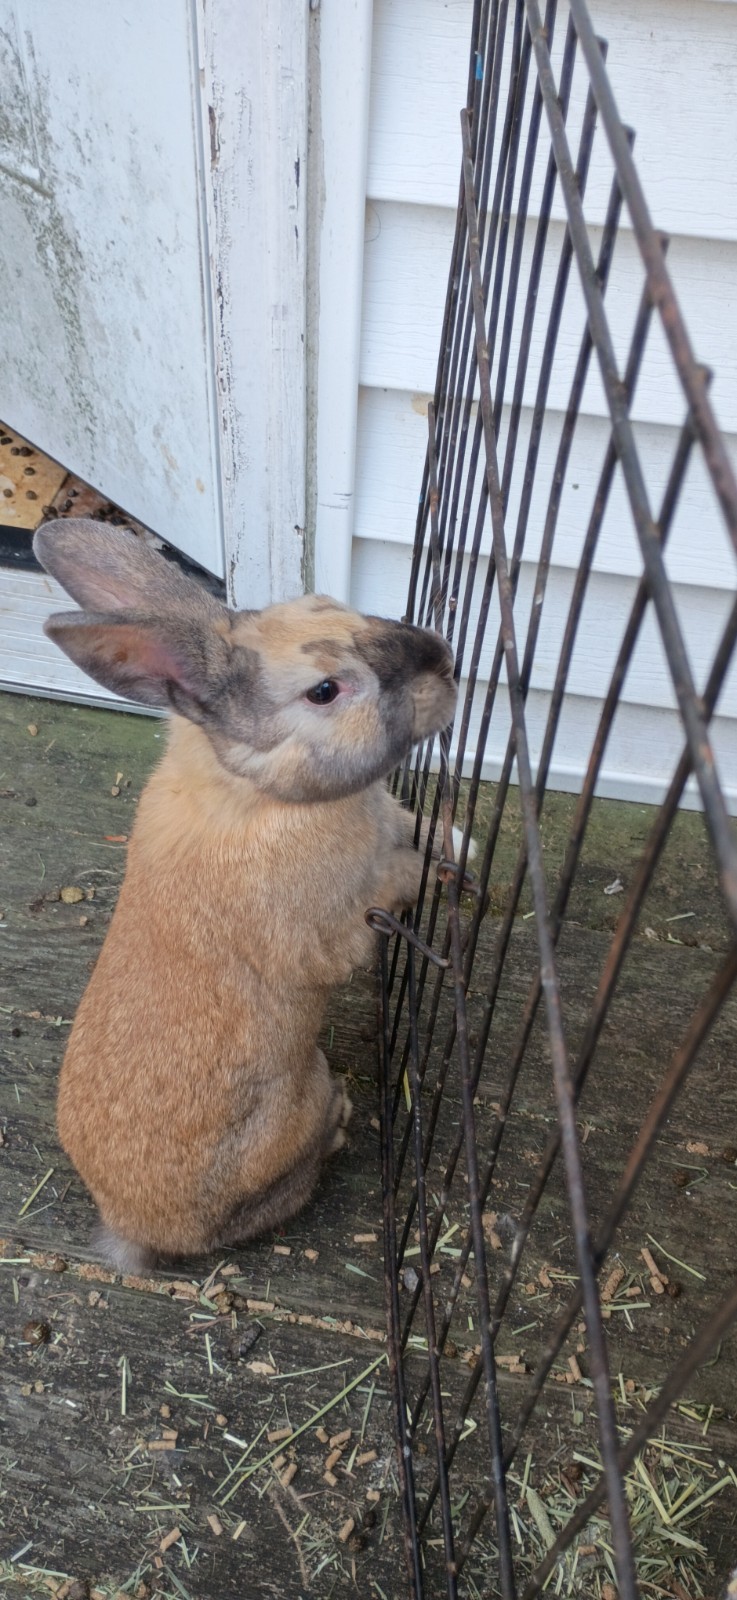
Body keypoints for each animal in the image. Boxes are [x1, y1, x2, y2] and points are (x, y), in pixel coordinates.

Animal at [33, 518, 457, 1274]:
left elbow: (417, 826)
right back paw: (340, 1122)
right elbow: (391, 886)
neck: (262, 789)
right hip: (298, 1099)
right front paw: (434, 877)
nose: (444, 662)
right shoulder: (334, 930)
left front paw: (458, 842)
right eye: (325, 690)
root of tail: (132, 1226)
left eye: (332, 604)